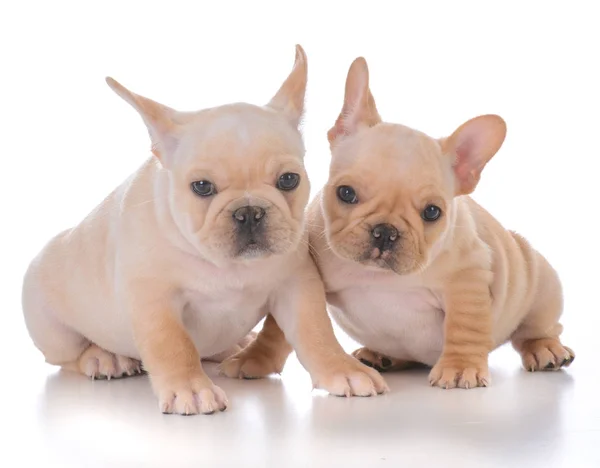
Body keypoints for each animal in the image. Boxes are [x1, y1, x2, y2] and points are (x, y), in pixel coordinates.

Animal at [21, 45, 386, 414]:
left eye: (288, 180)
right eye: (201, 187)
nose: (249, 211)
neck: (227, 267)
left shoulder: (297, 285)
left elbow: (316, 330)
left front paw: (341, 368)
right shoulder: (155, 300)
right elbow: (174, 345)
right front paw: (190, 388)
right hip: (50, 325)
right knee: (67, 356)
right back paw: (104, 358)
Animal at [308, 56, 576, 390]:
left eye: (432, 212)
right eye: (346, 193)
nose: (385, 232)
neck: (379, 276)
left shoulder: (467, 279)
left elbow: (464, 327)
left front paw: (460, 367)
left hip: (541, 284)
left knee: (536, 328)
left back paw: (545, 348)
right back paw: (381, 355)